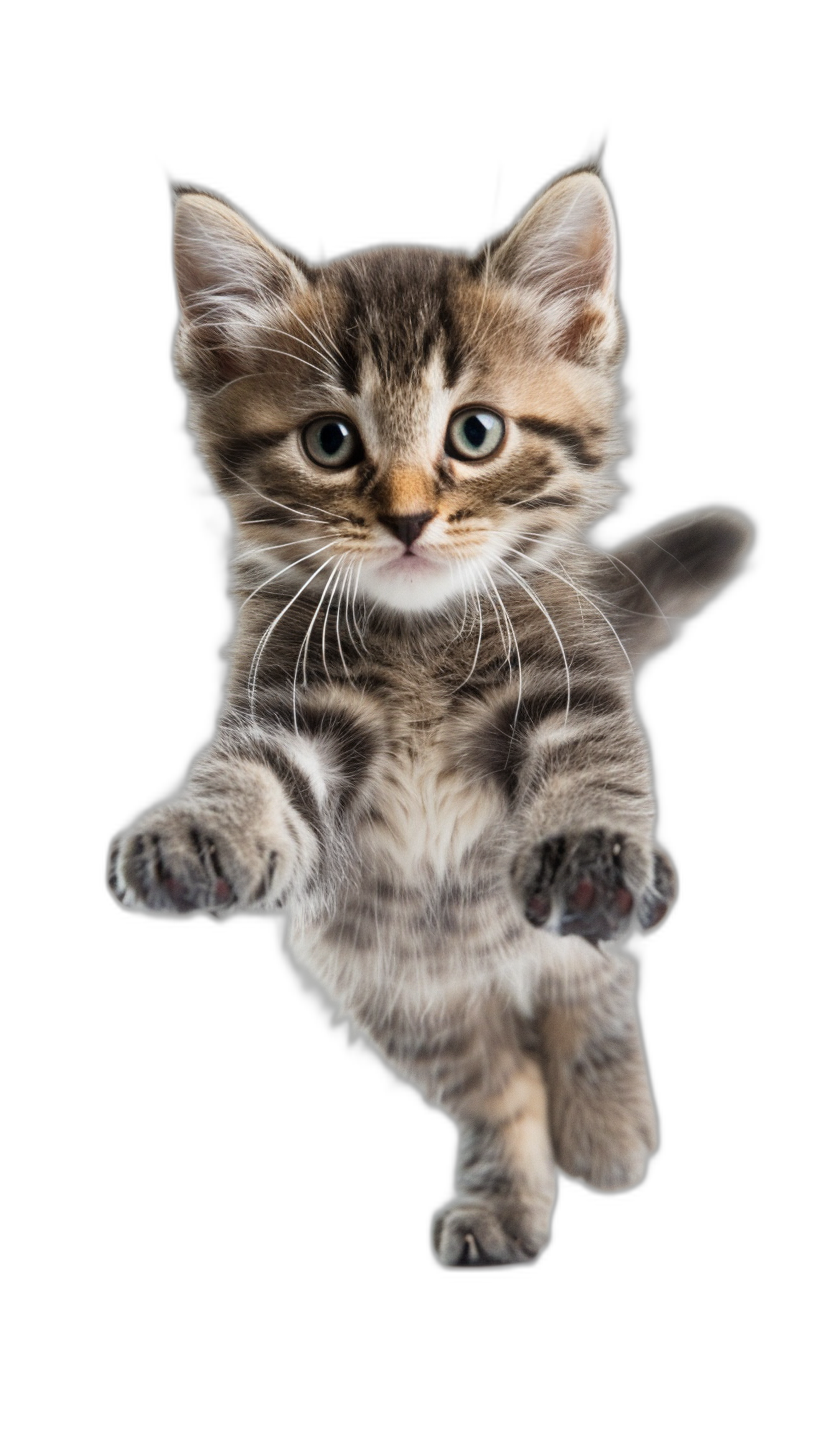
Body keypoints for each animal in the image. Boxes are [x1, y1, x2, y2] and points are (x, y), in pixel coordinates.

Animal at [107, 167, 751, 1263]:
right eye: (330, 442)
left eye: (475, 432)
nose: (408, 518)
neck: (419, 636)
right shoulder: (289, 716)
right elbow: (251, 785)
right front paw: (196, 834)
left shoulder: (571, 688)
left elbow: (595, 778)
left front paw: (589, 852)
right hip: (396, 989)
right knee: (502, 1083)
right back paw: (510, 1204)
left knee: (592, 975)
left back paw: (608, 1126)